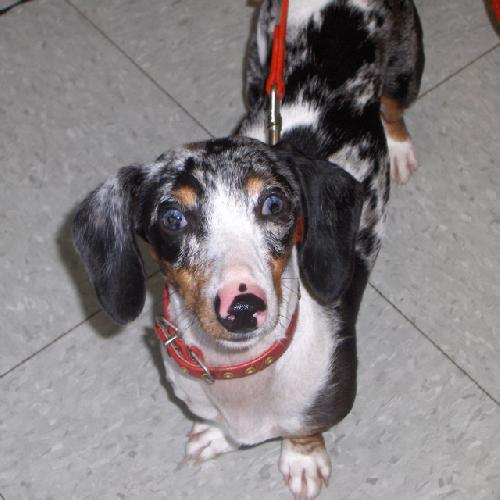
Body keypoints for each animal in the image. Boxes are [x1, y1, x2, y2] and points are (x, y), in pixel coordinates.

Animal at [72, 1, 424, 498]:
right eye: (172, 218)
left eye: (274, 204)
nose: (241, 308)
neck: (242, 374)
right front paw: (215, 436)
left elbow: (305, 430)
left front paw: (303, 459)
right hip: (258, 65)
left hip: (404, 64)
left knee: (392, 105)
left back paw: (399, 149)